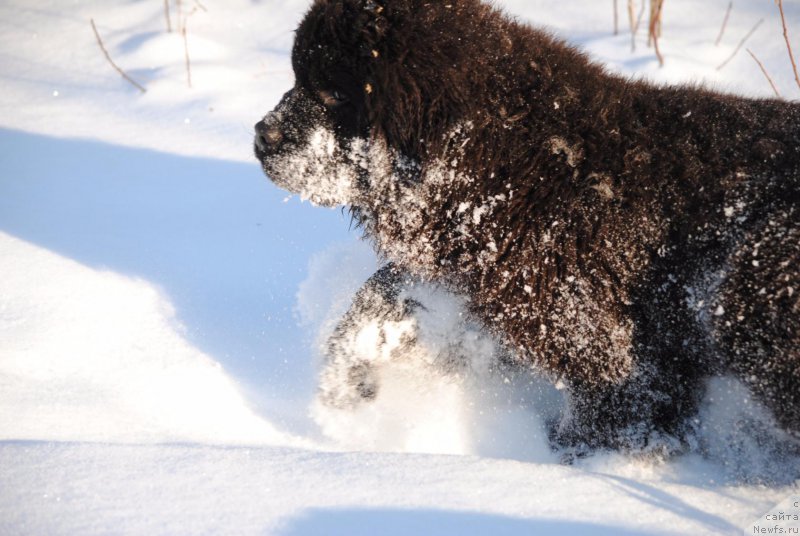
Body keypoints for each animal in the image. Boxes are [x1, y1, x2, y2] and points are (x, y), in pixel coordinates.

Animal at [253, 0, 796, 452]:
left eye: (333, 92)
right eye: (298, 77)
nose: (261, 136)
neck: (512, 164)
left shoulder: (604, 341)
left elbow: (612, 409)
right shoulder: (488, 273)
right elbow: (380, 293)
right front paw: (349, 381)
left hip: (748, 285)